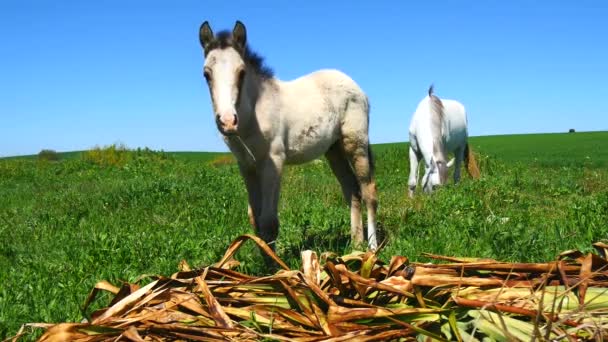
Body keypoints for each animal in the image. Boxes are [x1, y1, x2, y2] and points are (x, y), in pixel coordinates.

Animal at [200, 20, 378, 256]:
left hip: (355, 143)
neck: (254, 113)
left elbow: (269, 221)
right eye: (206, 74)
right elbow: (255, 218)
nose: (228, 121)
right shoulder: (247, 166)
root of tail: (358, 88)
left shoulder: (274, 162)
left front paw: (275, 264)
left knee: (369, 191)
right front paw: (264, 259)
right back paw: (356, 245)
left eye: (241, 72)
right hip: (334, 150)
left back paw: (372, 248)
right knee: (352, 190)